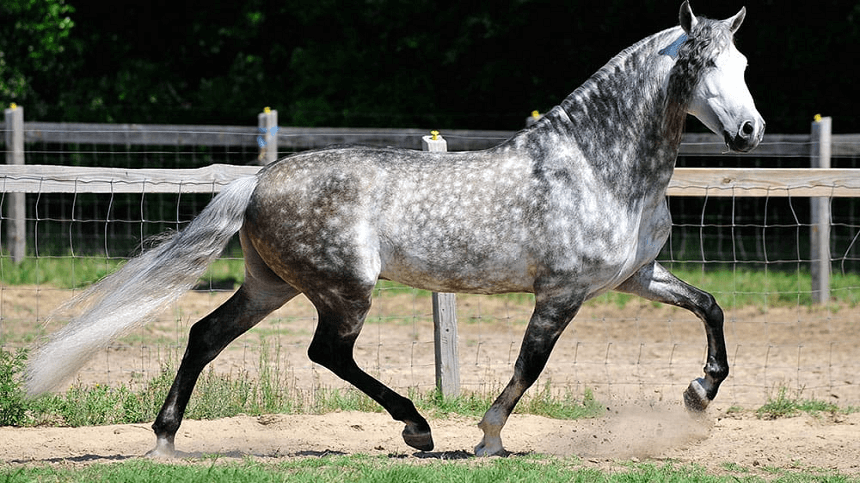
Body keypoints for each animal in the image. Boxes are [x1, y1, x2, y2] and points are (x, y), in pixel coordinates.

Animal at [26, 1, 764, 458]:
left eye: (743, 65)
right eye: (699, 64)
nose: (750, 131)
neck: (597, 166)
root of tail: (258, 180)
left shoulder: (634, 277)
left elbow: (711, 307)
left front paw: (699, 394)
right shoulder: (562, 292)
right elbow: (530, 364)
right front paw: (488, 435)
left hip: (272, 286)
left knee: (205, 335)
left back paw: (165, 438)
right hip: (344, 288)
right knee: (327, 352)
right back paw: (417, 428)